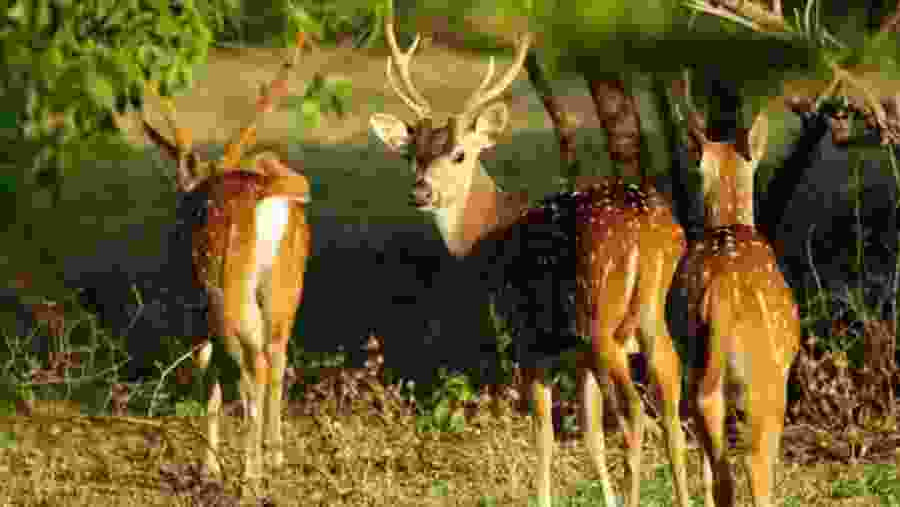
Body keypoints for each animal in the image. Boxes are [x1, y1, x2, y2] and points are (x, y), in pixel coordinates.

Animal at [142, 34, 311, 481]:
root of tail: (271, 195)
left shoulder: (194, 308)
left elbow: (208, 376)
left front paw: (209, 467)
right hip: (285, 289)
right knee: (277, 355)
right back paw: (274, 455)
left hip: (227, 286)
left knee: (254, 366)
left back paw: (249, 477)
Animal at [368, 9, 690, 507]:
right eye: (412, 156)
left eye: (459, 154)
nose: (421, 191)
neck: (488, 239)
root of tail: (654, 233)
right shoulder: (574, 353)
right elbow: (591, 437)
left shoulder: (528, 337)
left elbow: (544, 435)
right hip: (650, 319)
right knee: (673, 404)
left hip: (602, 319)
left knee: (636, 412)